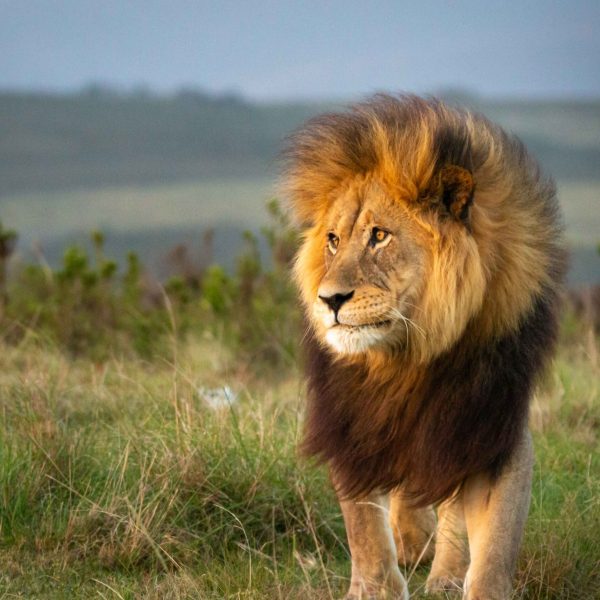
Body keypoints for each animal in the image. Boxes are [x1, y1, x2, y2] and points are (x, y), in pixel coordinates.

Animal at [284, 96, 564, 596]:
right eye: (333, 241)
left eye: (379, 236)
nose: (329, 300)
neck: (411, 355)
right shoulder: (353, 419)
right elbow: (363, 524)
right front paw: (373, 588)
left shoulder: (489, 423)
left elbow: (496, 540)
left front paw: (468, 581)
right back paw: (413, 543)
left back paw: (445, 573)